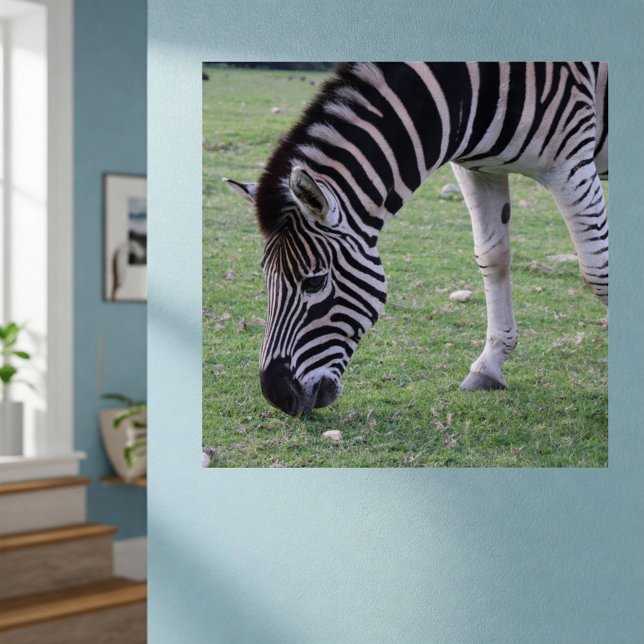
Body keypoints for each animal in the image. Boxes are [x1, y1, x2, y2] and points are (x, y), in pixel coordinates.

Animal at [224, 62, 608, 416]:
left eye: (315, 281)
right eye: (265, 277)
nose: (277, 397)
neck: (472, 88)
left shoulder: (570, 166)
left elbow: (598, 273)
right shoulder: (478, 169)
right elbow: (492, 257)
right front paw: (488, 366)